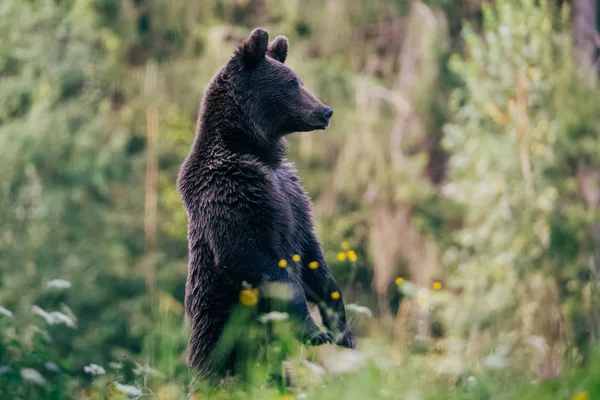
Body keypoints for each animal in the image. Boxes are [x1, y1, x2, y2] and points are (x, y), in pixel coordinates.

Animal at [177, 27, 356, 382]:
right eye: (293, 83)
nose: (326, 111)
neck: (257, 150)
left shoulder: (291, 193)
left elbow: (313, 257)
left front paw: (342, 329)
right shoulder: (232, 190)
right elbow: (253, 255)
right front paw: (315, 331)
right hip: (222, 337)